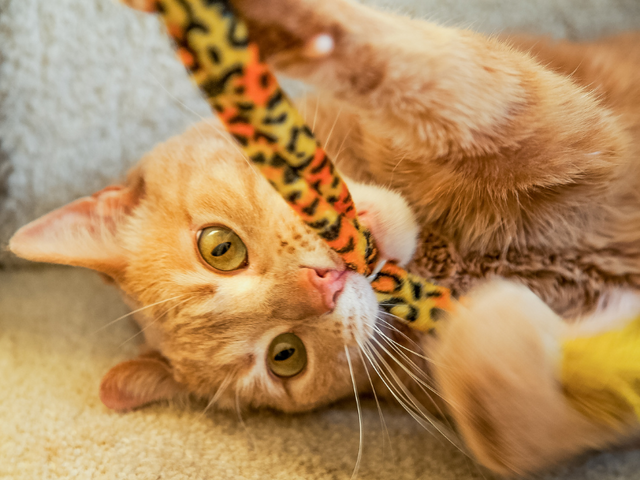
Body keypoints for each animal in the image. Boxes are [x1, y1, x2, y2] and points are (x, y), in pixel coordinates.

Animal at [7, 0, 640, 474]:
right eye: (285, 357)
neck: (443, 255)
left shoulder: (572, 139)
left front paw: (284, 24)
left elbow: (458, 90)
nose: (325, 281)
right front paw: (483, 331)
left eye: (219, 247)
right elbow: (514, 433)